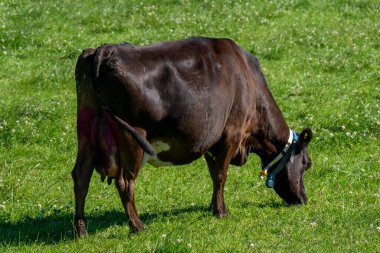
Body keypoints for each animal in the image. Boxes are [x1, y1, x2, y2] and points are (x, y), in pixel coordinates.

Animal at [72, 37, 314, 237]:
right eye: (307, 164)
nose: (303, 199)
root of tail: (104, 50)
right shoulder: (231, 134)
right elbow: (221, 175)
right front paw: (222, 212)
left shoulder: (211, 140)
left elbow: (213, 173)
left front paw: (213, 207)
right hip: (133, 137)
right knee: (125, 182)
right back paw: (137, 226)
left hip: (86, 129)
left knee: (81, 176)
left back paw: (81, 230)